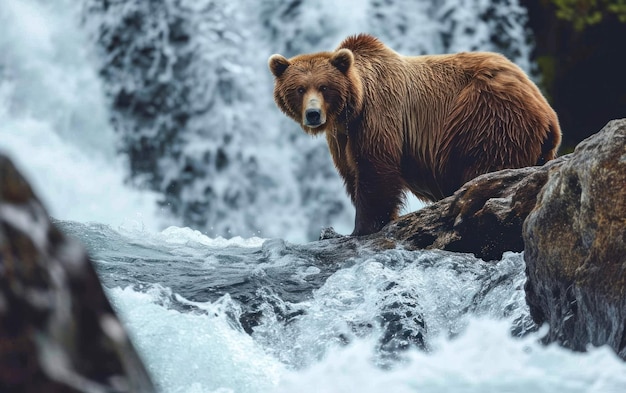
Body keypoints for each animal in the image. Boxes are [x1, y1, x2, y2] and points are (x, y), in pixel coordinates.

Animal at [268, 33, 560, 236]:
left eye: (324, 87)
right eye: (299, 89)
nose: (313, 114)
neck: (352, 106)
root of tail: (548, 113)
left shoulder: (378, 113)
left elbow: (375, 169)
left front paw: (361, 228)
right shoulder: (342, 135)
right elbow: (352, 172)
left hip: (486, 115)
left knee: (487, 163)